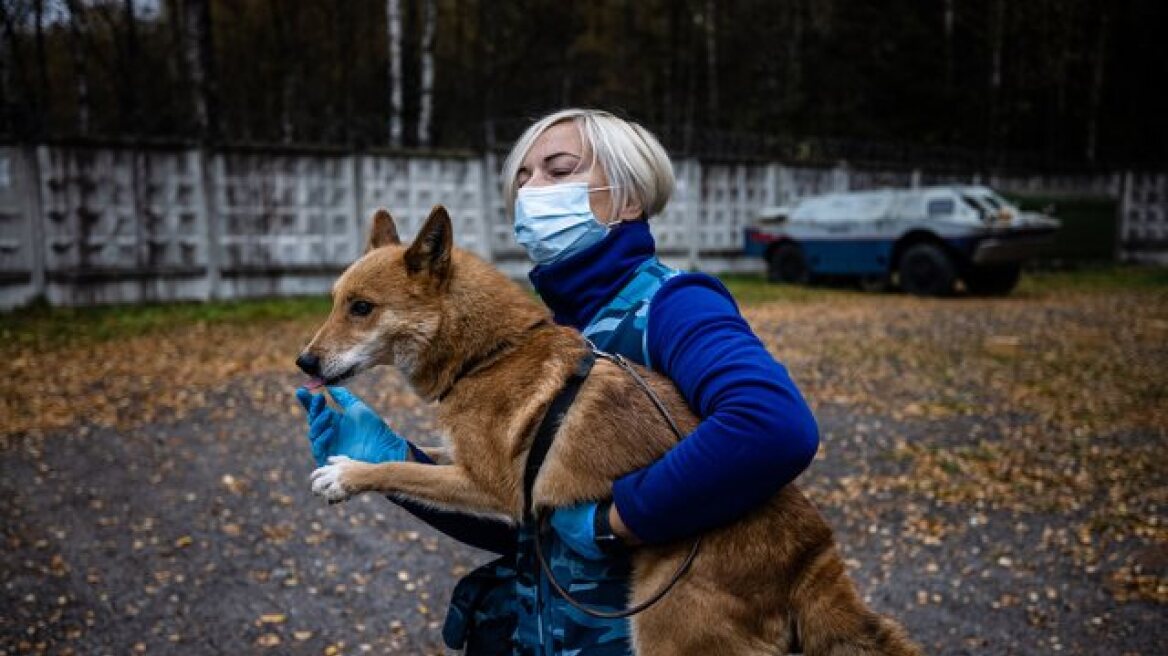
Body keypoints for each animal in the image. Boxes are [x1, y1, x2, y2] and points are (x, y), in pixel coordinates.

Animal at [299, 205, 920, 653]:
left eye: (361, 307)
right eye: (334, 302)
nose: (304, 362)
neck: (491, 353)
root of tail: (813, 558)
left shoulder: (495, 489)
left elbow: (399, 468)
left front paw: (349, 473)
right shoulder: (477, 476)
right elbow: (413, 456)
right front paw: (359, 442)